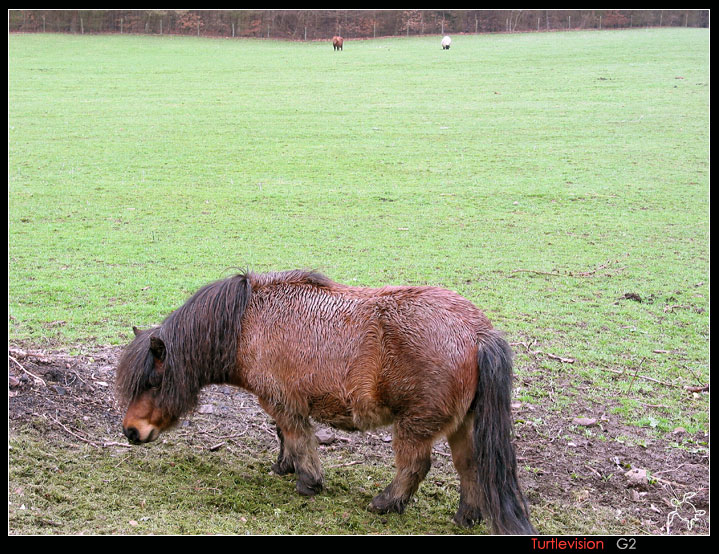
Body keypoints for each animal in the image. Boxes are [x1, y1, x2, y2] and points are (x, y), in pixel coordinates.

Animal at [115, 270, 536, 532]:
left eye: (153, 381)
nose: (130, 432)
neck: (246, 323)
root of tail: (478, 332)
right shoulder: (282, 403)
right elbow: (284, 437)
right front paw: (283, 467)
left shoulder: (282, 402)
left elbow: (298, 439)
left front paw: (307, 482)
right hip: (463, 424)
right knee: (470, 466)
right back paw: (466, 517)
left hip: (415, 424)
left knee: (415, 466)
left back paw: (385, 503)